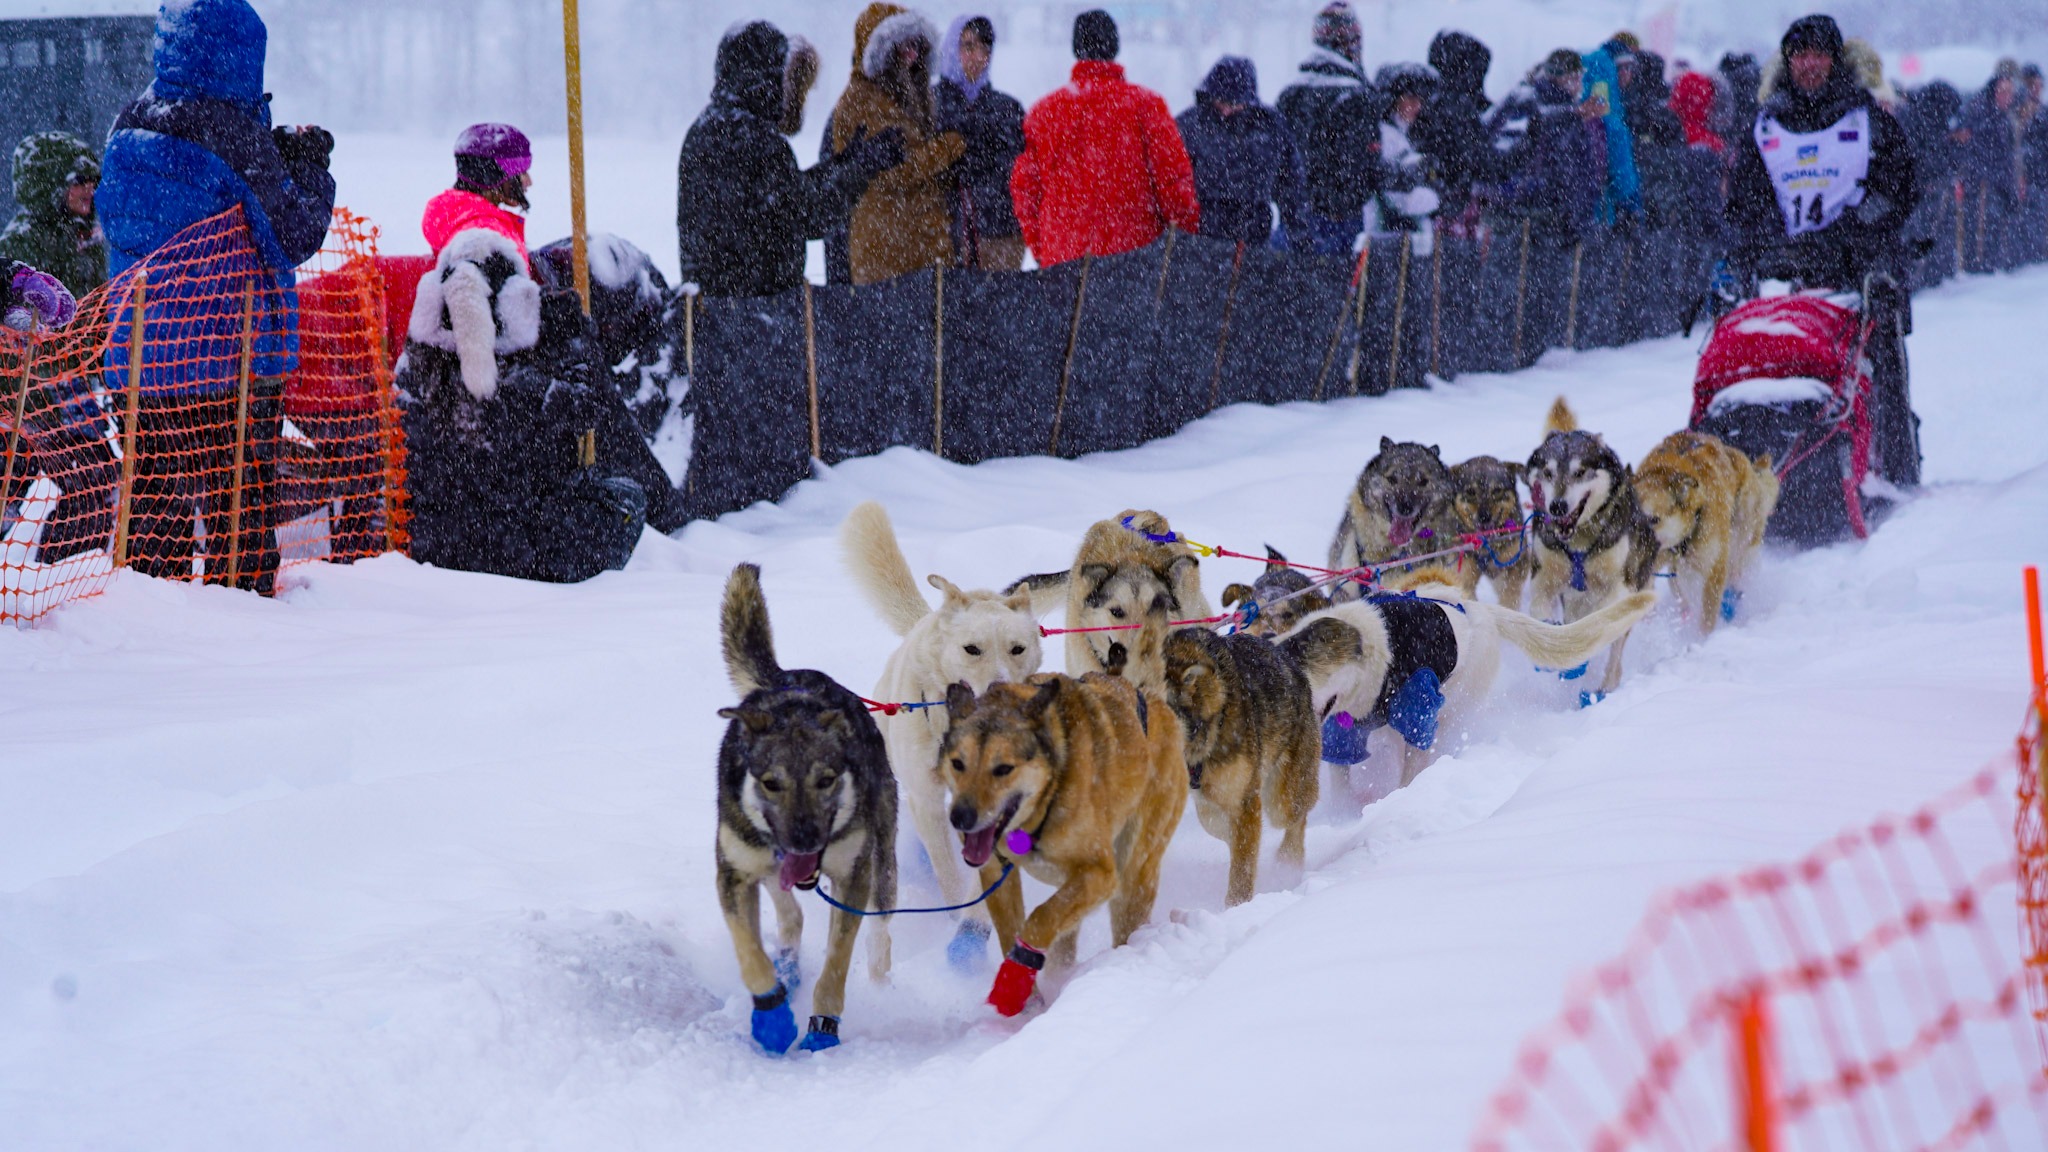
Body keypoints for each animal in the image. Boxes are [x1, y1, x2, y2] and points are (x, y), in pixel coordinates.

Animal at [835, 498, 1040, 963]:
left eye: (1017, 649)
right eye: (972, 649)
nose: (1001, 687)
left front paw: (974, 926)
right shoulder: (926, 799)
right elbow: (949, 871)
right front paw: (959, 920)